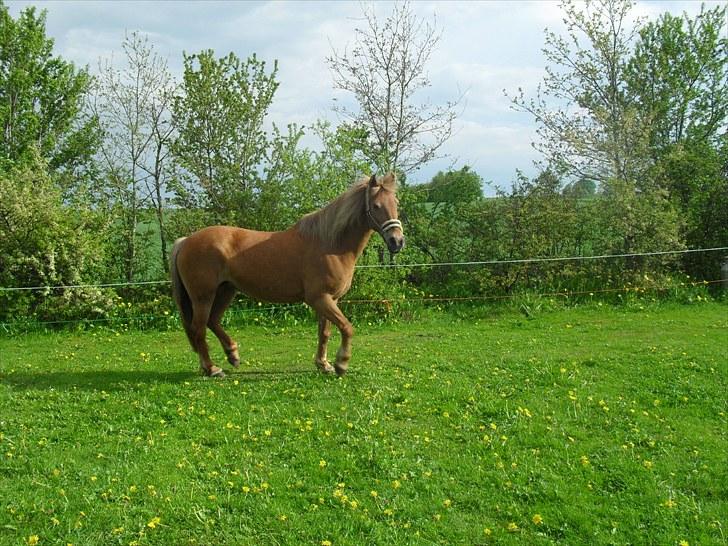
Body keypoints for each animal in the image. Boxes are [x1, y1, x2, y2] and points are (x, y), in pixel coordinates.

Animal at [169, 172, 404, 376]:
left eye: (396, 204)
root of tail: (186, 241)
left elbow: (325, 332)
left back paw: (232, 355)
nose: (397, 241)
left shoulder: (330, 299)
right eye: (376, 206)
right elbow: (347, 328)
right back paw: (211, 368)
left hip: (226, 290)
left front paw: (323, 364)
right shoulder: (319, 299)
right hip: (203, 296)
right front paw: (341, 363)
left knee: (212, 321)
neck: (329, 244)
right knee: (199, 328)